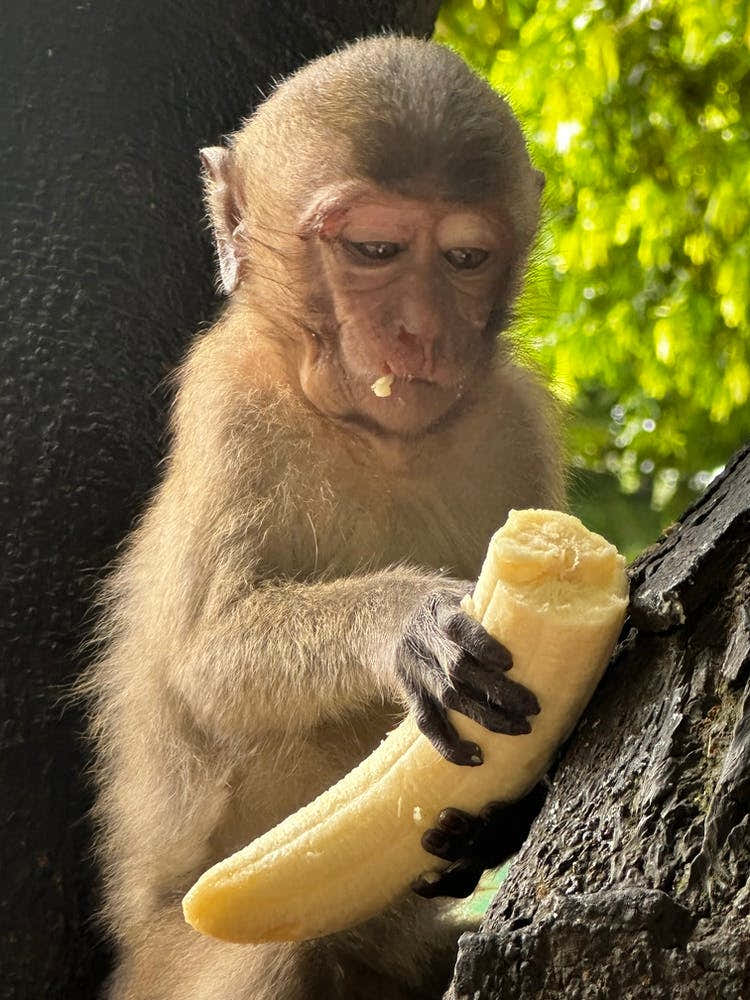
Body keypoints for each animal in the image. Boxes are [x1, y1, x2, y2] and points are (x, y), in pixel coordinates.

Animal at [82, 35, 564, 1000]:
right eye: (374, 249)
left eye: (463, 258)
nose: (419, 332)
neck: (376, 437)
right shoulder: (228, 402)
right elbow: (208, 658)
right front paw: (408, 623)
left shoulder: (516, 421)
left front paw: (501, 818)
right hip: (175, 953)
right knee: (275, 952)